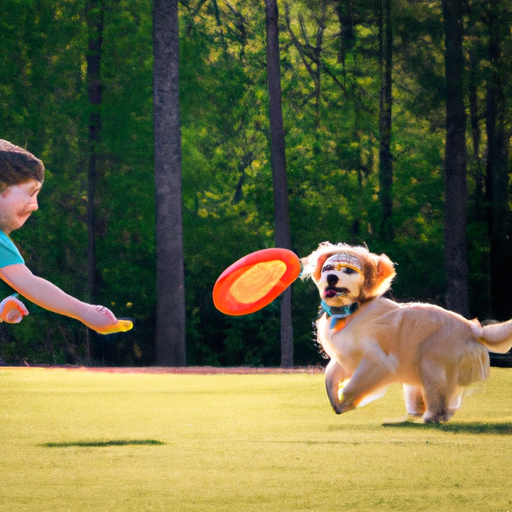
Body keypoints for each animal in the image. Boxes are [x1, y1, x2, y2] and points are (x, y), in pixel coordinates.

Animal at [300, 242, 512, 422]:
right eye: (327, 268)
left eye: (348, 270)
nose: (331, 278)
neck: (352, 311)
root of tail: (472, 328)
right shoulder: (348, 357)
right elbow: (330, 377)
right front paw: (335, 400)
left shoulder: (377, 361)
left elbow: (353, 386)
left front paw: (346, 403)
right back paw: (412, 415)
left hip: (431, 361)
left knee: (438, 396)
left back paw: (432, 417)